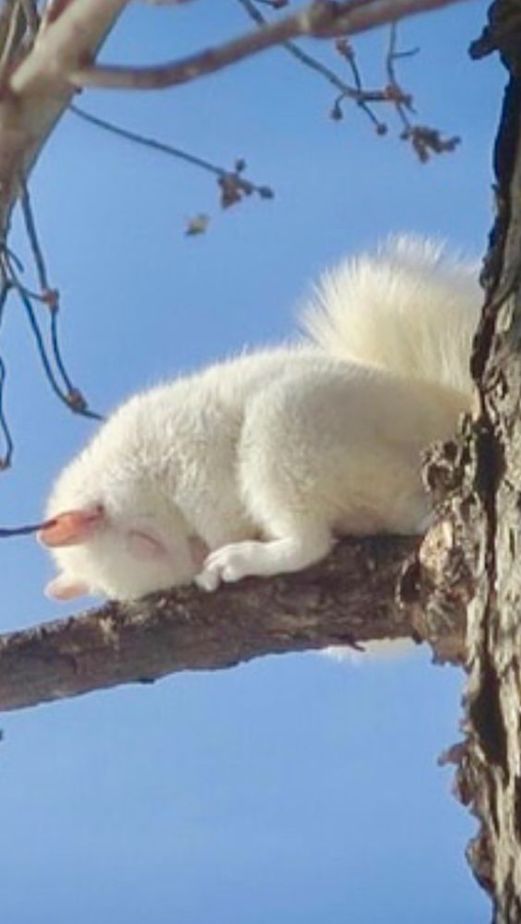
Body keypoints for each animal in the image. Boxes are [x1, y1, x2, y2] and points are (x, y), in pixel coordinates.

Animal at [39, 235, 480, 602]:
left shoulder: (188, 459)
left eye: (143, 541)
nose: (197, 558)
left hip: (288, 433)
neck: (132, 466)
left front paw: (215, 555)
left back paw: (241, 558)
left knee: (308, 542)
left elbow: (213, 508)